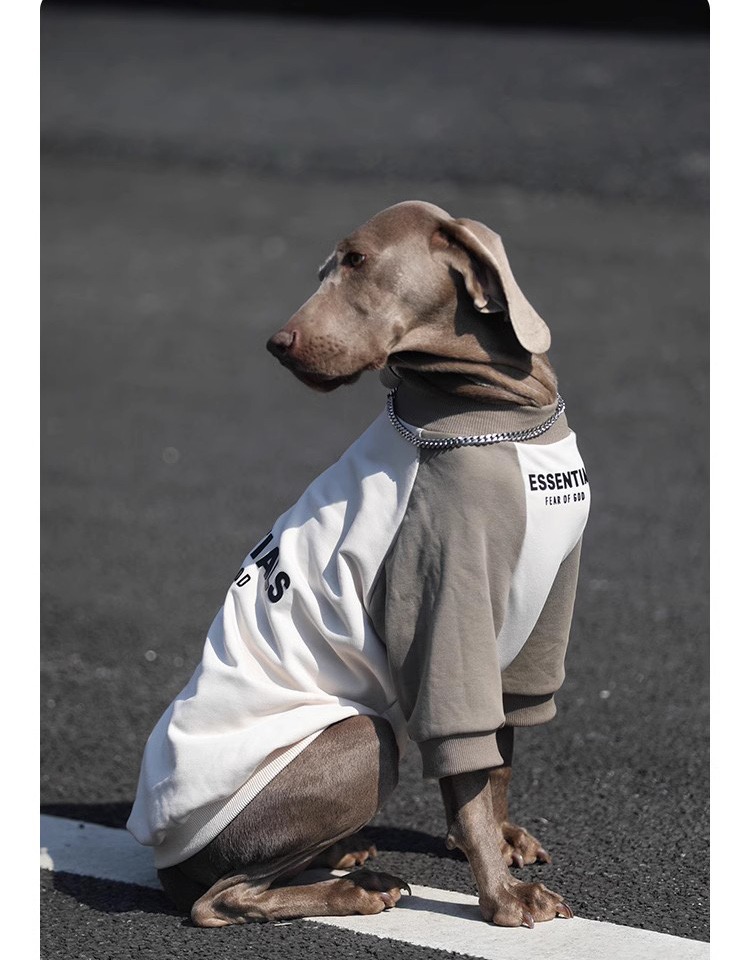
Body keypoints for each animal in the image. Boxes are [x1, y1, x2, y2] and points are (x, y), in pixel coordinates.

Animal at [127, 201, 590, 929]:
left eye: (356, 261)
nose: (277, 344)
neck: (502, 412)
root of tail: (165, 862)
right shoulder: (447, 608)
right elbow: (466, 757)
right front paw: (502, 896)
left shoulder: (542, 609)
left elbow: (500, 749)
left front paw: (499, 839)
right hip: (360, 738)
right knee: (219, 900)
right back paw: (356, 889)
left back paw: (347, 855)